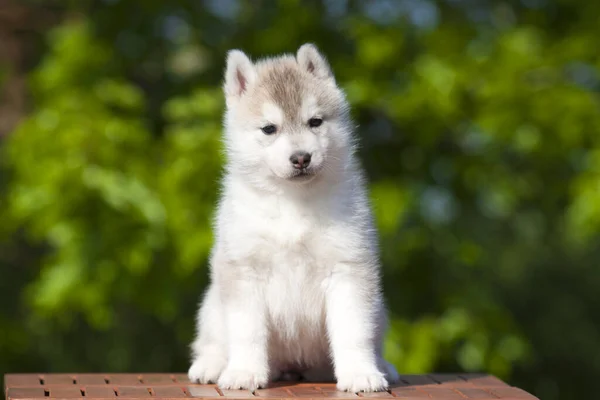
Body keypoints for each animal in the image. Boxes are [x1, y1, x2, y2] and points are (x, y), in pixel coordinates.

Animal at [189, 43, 398, 390]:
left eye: (315, 121)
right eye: (269, 129)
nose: (301, 157)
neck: (292, 202)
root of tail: (294, 367)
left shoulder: (348, 269)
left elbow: (353, 332)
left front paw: (360, 373)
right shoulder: (244, 271)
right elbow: (247, 331)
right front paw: (244, 371)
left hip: (379, 310)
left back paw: (384, 366)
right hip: (212, 305)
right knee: (213, 340)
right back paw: (211, 365)